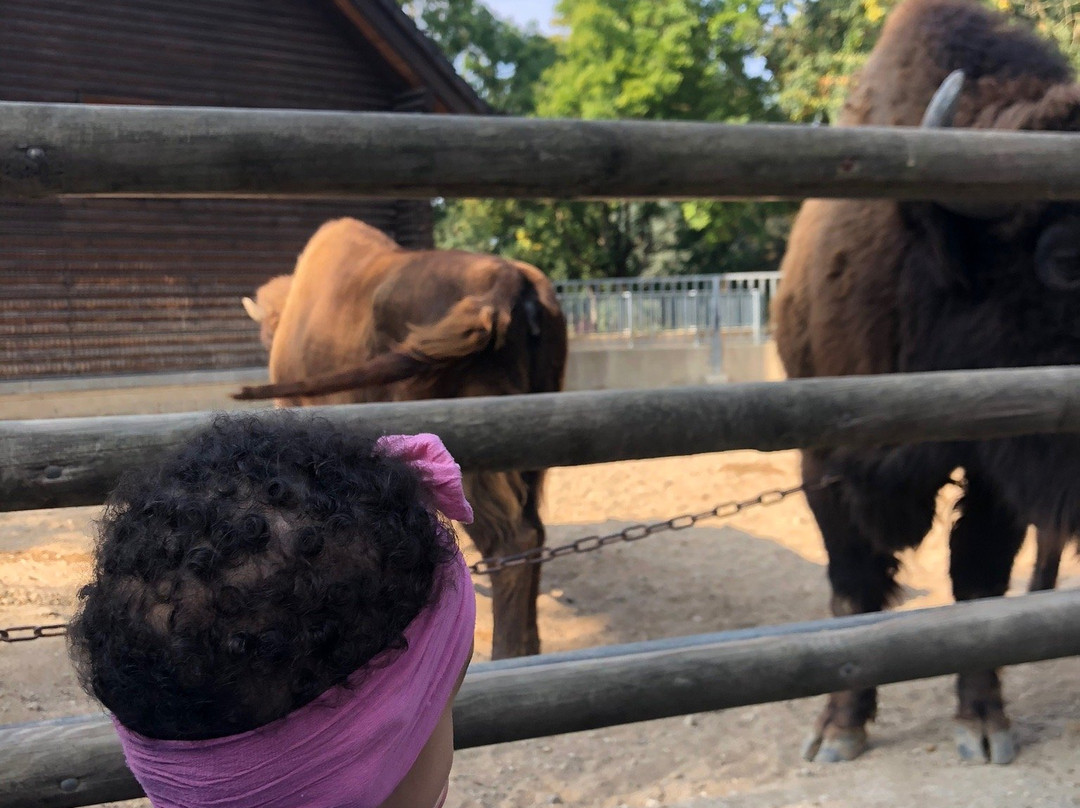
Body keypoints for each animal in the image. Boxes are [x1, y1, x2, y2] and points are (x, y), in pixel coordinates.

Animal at [773, 0, 1080, 764]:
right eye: (1065, 259)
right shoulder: (825, 463)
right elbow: (853, 590)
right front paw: (838, 730)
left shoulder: (995, 468)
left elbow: (978, 579)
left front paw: (984, 723)